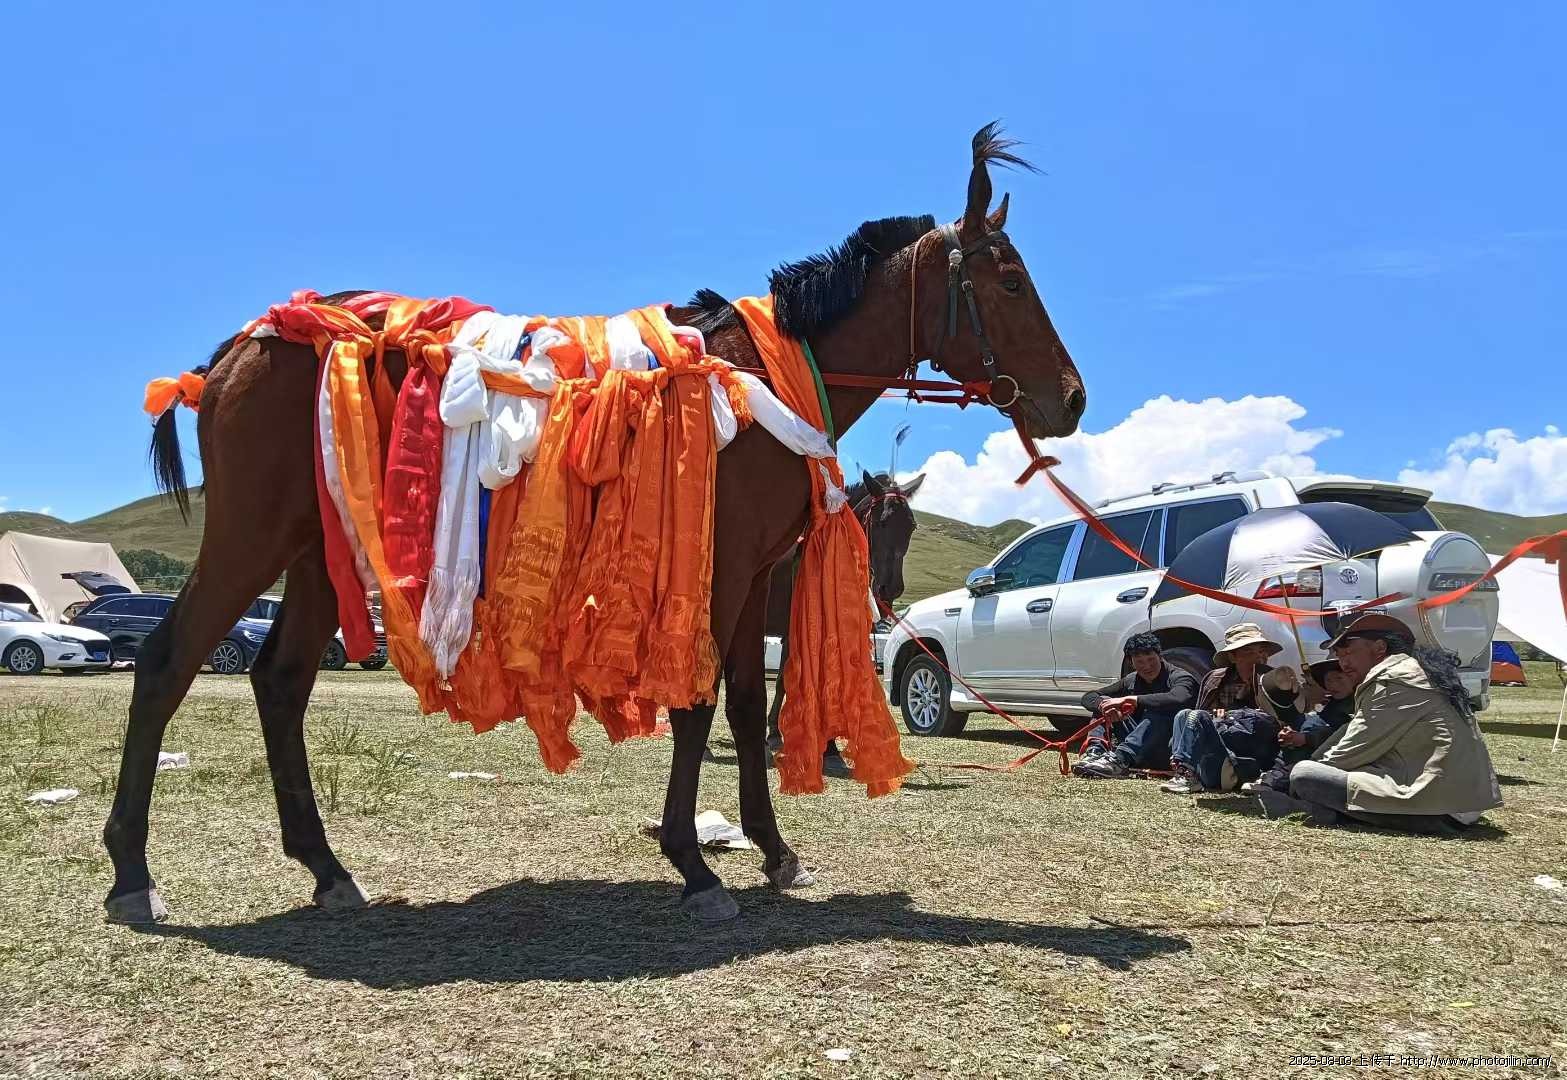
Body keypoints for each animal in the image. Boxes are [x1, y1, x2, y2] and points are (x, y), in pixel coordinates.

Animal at [763, 470, 926, 754]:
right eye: (882, 522)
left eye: (911, 526)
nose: (891, 588)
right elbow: (788, 678)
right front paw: (776, 733)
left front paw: (825, 743)